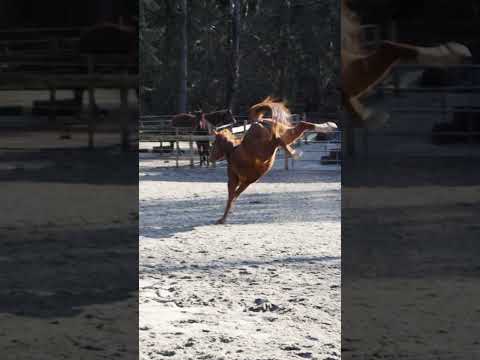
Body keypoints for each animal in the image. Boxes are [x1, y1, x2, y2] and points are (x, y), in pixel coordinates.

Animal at [208, 97, 336, 224]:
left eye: (214, 143)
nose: (210, 158)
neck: (232, 150)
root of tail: (258, 121)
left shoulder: (235, 179)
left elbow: (231, 196)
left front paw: (222, 219)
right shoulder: (247, 181)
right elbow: (234, 196)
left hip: (265, 148)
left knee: (278, 140)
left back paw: (293, 152)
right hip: (287, 134)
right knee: (301, 126)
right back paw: (329, 126)